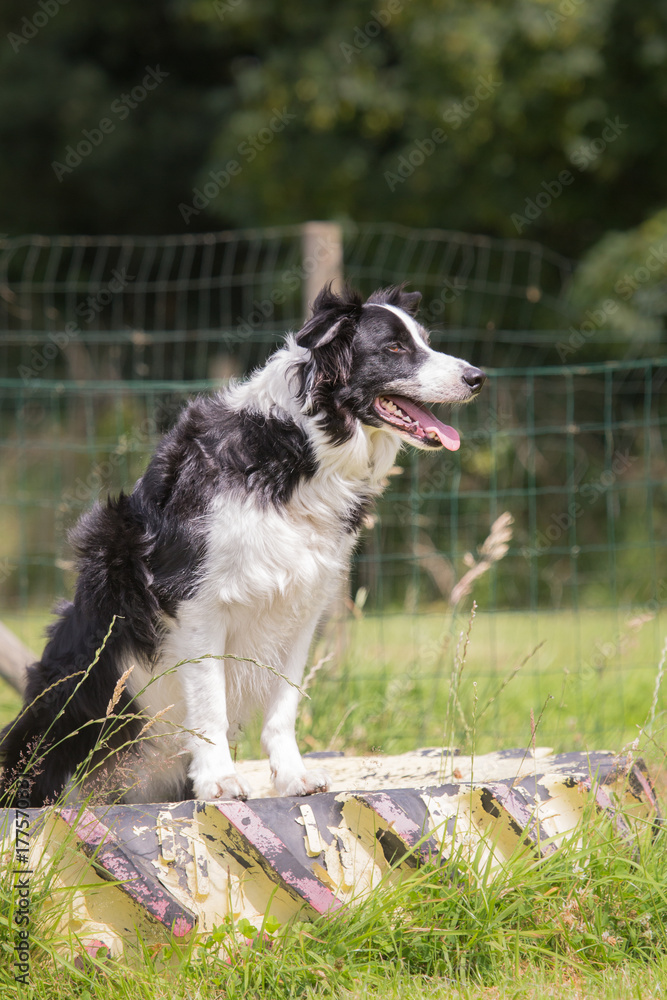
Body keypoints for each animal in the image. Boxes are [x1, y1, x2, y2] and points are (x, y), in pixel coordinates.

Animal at [0, 282, 486, 804]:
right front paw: (219, 781)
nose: (478, 377)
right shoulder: (196, 602)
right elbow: (209, 703)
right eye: (394, 348)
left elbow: (284, 706)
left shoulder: (302, 603)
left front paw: (293, 778)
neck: (297, 454)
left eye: (425, 341)